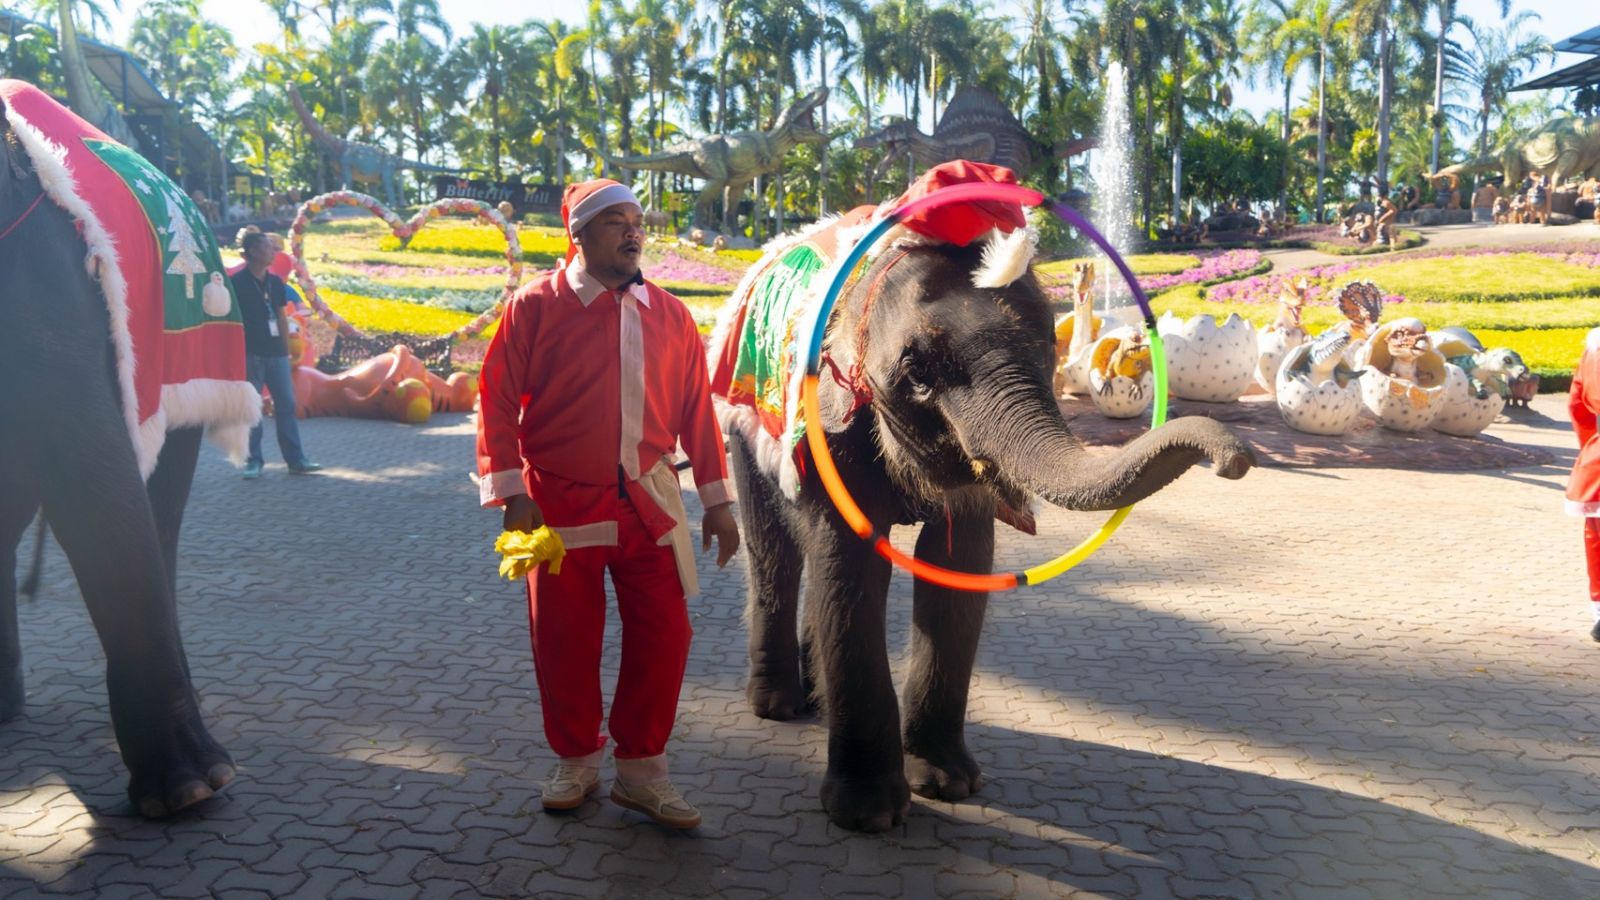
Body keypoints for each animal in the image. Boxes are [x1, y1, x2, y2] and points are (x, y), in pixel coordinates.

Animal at [723, 224, 1256, 832]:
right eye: (917, 374)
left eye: (1047, 348)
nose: (1233, 460)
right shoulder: (832, 432)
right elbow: (852, 566)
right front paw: (869, 816)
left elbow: (960, 566)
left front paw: (948, 784)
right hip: (742, 430)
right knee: (774, 552)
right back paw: (778, 706)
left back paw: (813, 700)